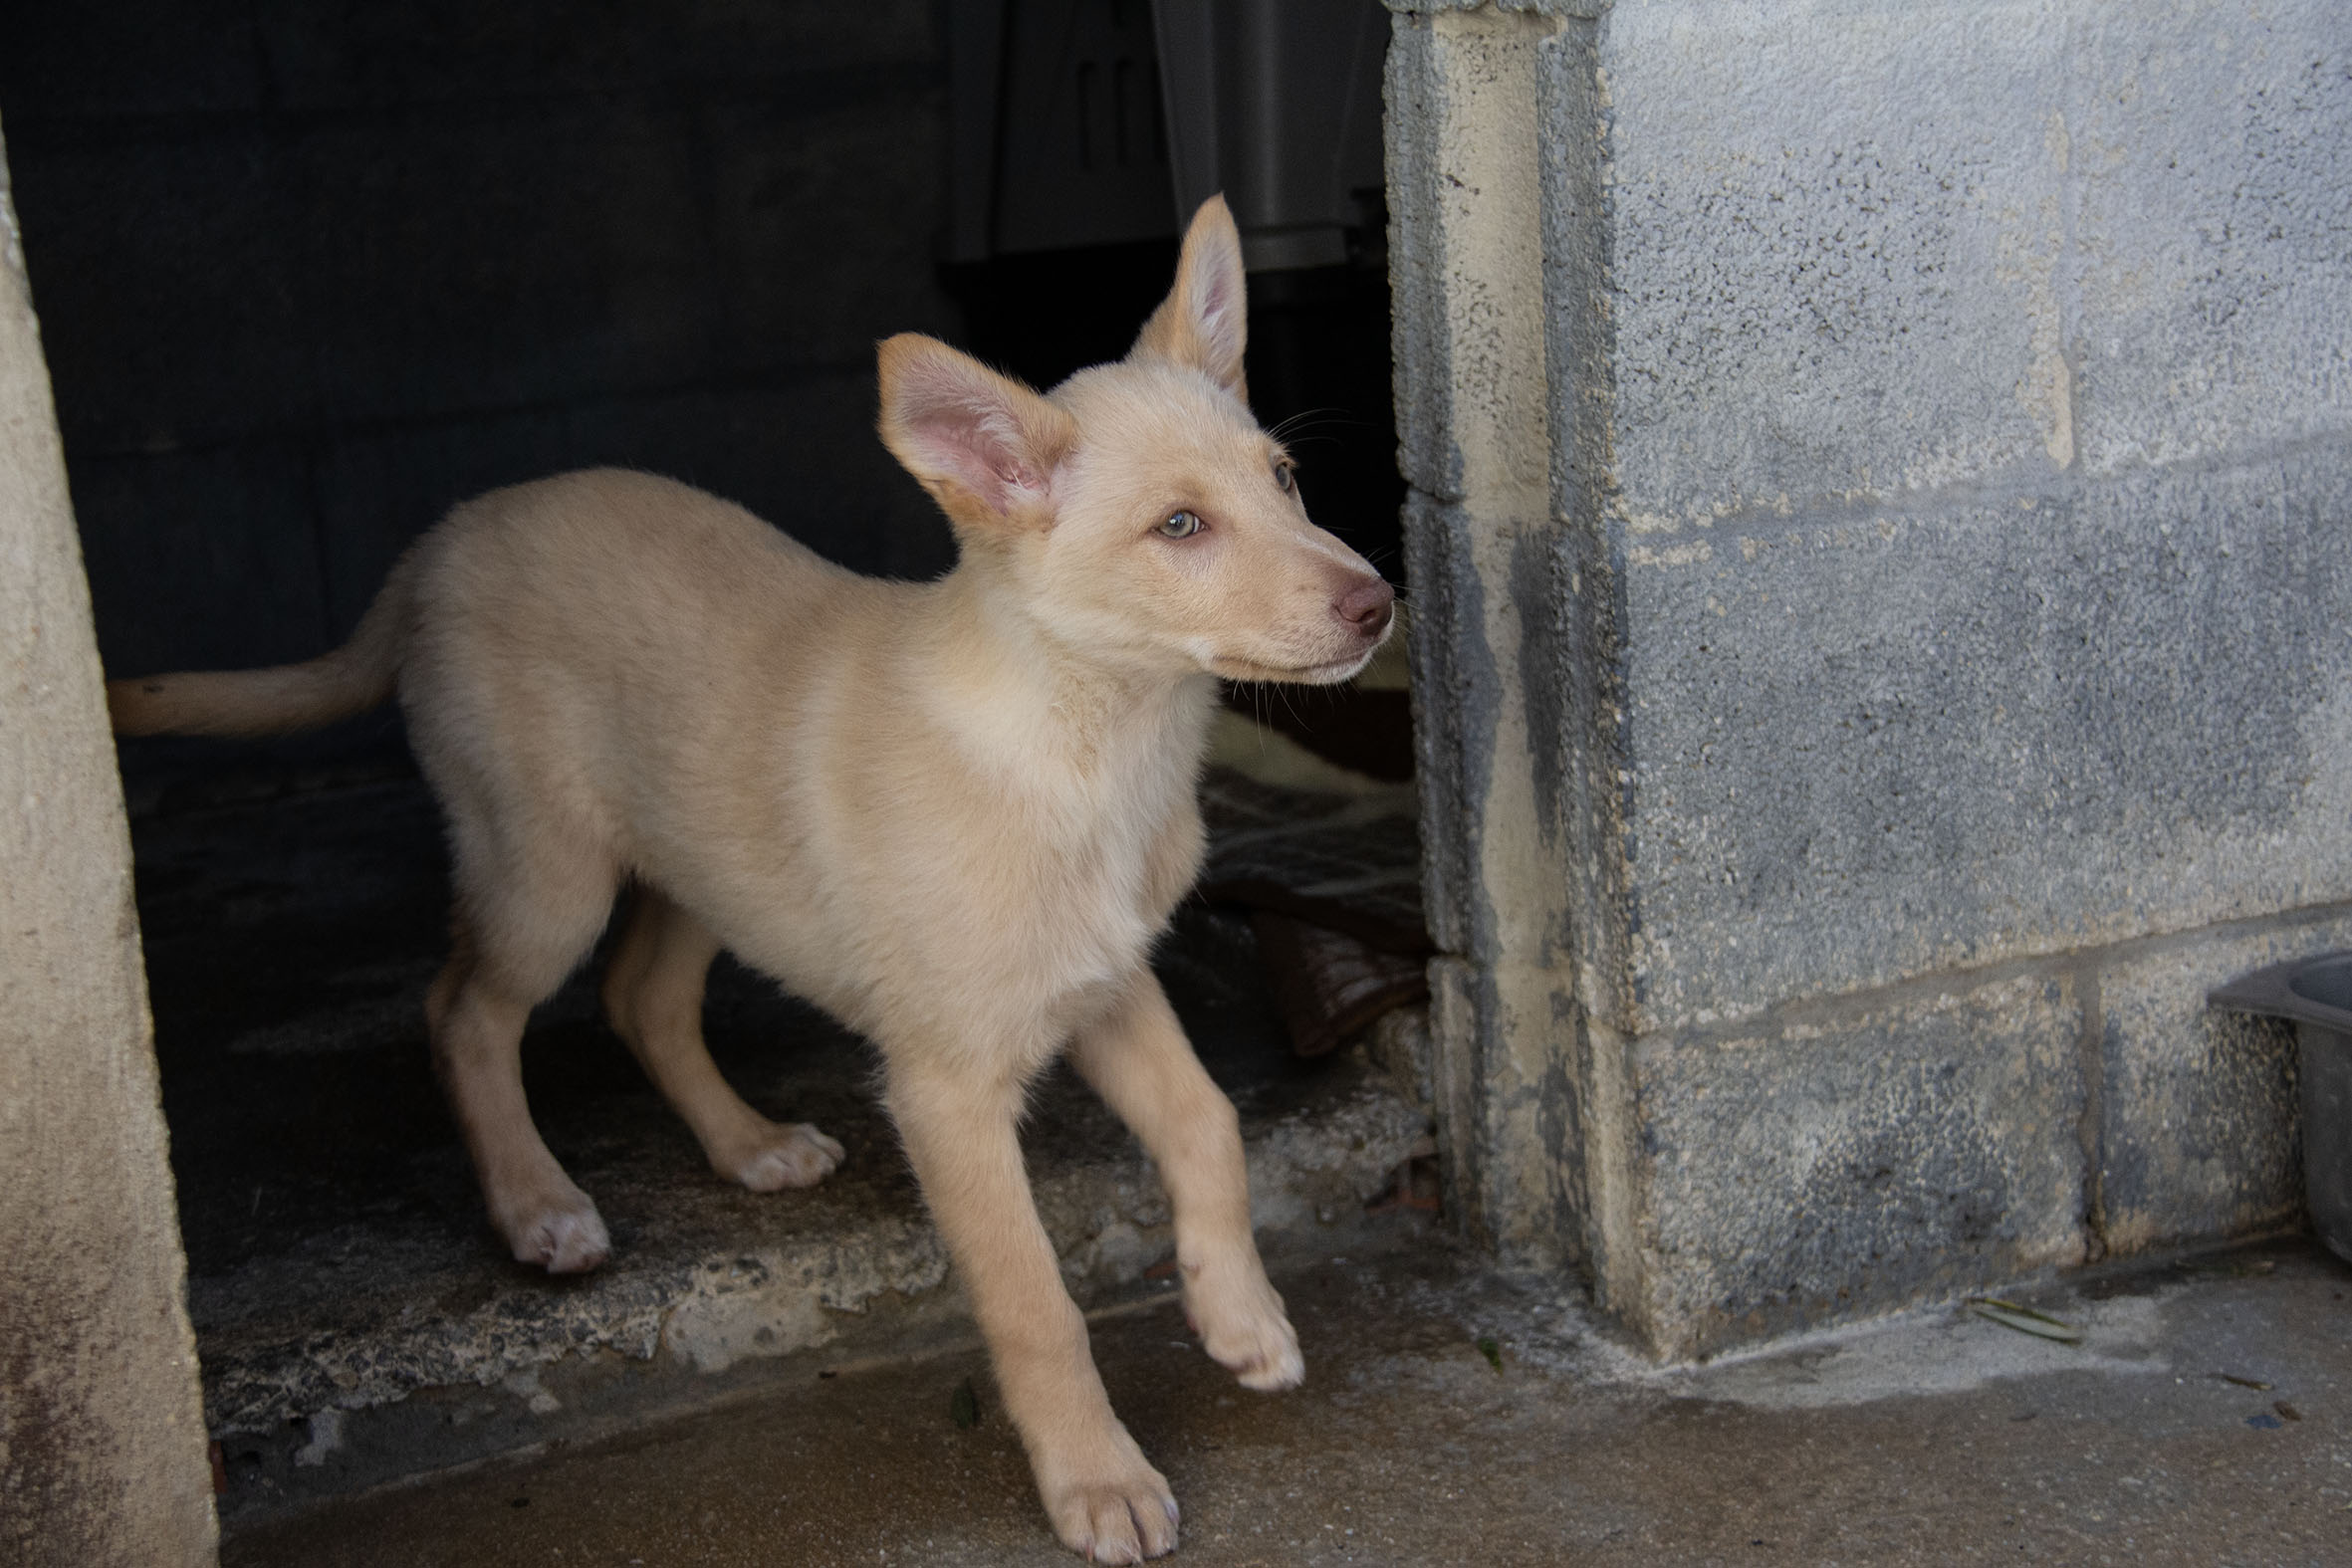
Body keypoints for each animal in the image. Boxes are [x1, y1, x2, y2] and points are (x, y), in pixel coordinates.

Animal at [108, 195, 1394, 1562]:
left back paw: (747, 1147)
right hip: (547, 867)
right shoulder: (947, 1088)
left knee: (641, 998)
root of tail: (439, 541)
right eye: (1179, 528)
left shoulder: (1102, 982)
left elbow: (1206, 1122)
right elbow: (1037, 1302)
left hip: (702, 866)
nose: (1380, 605)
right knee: (464, 1011)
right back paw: (537, 1206)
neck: (1088, 746)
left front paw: (1240, 1316)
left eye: (1284, 478)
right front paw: (1097, 1480)